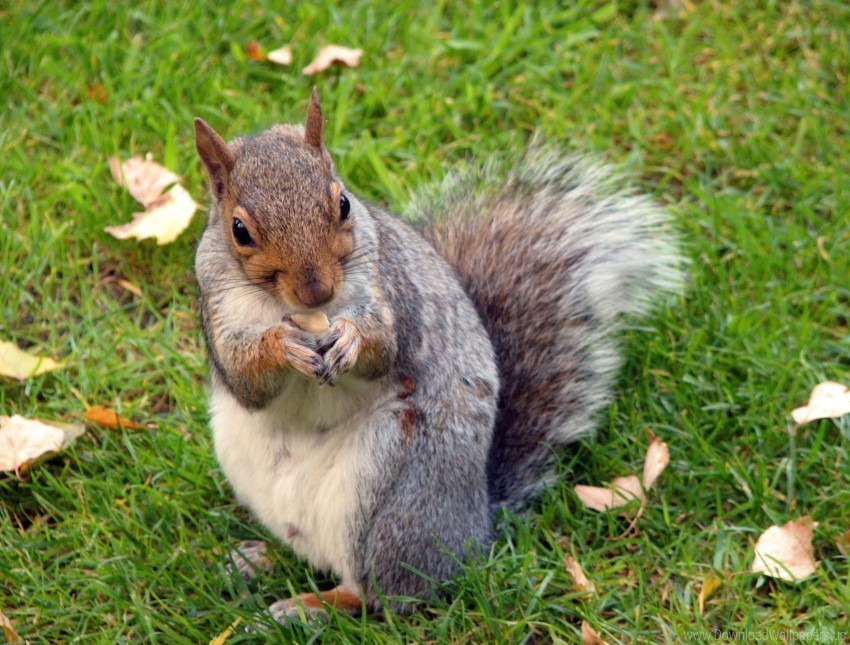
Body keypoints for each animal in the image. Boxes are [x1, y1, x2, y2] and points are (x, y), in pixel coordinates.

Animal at [194, 89, 684, 620]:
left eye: (343, 203)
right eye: (239, 230)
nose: (316, 291)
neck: (298, 311)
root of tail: (475, 527)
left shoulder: (392, 287)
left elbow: (386, 346)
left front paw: (350, 339)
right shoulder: (218, 312)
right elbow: (246, 379)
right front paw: (282, 346)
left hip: (396, 485)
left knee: (375, 592)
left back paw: (309, 605)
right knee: (305, 548)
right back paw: (258, 558)